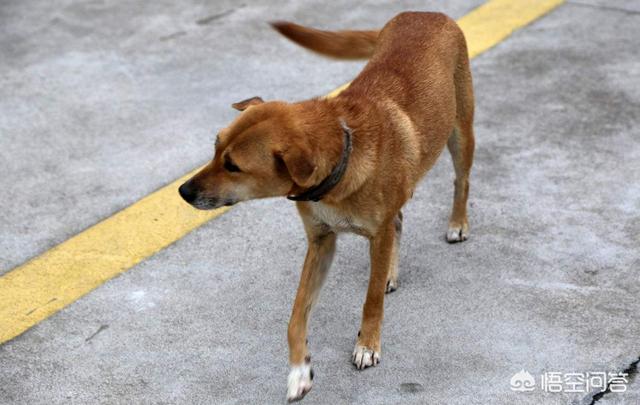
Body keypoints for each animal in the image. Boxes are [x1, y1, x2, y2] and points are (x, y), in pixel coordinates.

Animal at [178, 11, 472, 400]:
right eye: (215, 147)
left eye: (233, 166)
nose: (183, 191)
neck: (344, 156)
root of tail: (423, 13)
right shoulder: (321, 242)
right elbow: (296, 316)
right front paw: (299, 371)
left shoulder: (375, 236)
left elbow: (370, 300)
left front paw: (367, 344)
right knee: (399, 220)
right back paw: (389, 272)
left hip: (461, 133)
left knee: (460, 181)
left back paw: (457, 223)